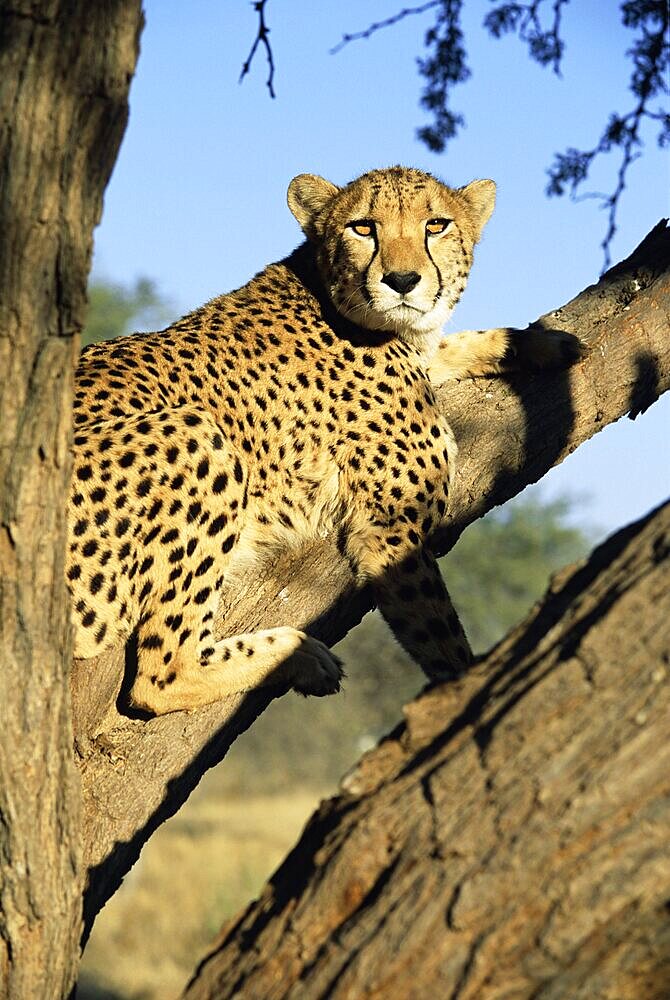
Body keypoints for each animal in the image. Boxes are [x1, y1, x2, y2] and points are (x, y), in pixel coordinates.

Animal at [71, 168, 580, 716]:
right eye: (363, 227)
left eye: (436, 225)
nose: (402, 281)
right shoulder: (390, 530)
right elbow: (441, 638)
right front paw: (467, 697)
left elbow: (452, 344)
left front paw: (543, 342)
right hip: (195, 434)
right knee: (159, 674)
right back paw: (297, 653)